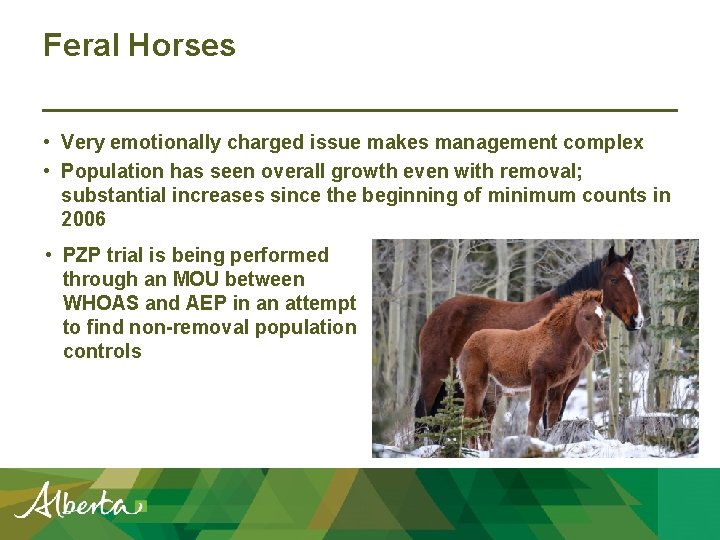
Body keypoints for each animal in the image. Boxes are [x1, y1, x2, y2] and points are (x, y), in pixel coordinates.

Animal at [415, 245, 643, 432]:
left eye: (635, 279)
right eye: (614, 279)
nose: (636, 320)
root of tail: (434, 316)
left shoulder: (568, 381)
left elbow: (555, 416)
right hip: (435, 375)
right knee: (421, 414)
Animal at [458, 290, 608, 448]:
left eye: (603, 316)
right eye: (587, 317)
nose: (601, 344)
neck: (555, 342)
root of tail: (467, 344)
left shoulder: (559, 384)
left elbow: (553, 414)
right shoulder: (539, 378)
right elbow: (535, 412)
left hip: (493, 392)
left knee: (484, 425)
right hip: (475, 385)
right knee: (469, 419)